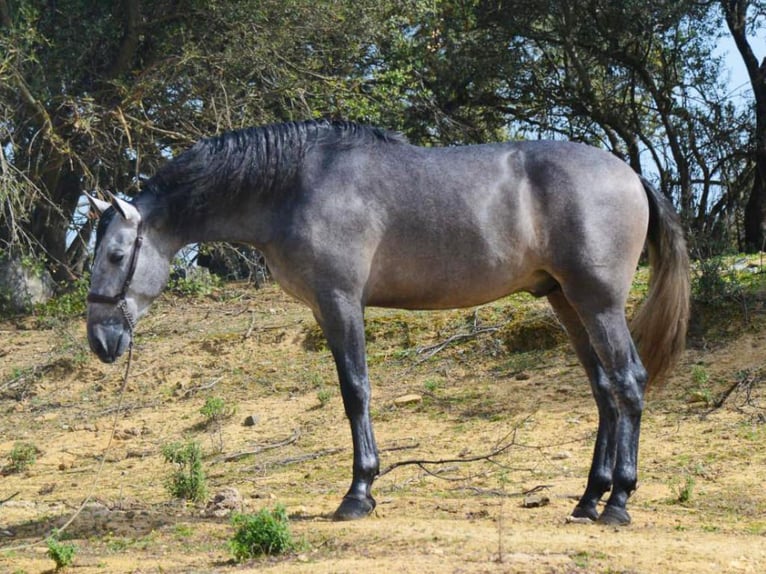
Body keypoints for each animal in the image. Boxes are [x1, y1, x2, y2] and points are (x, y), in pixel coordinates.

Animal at [87, 120, 692, 528]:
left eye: (116, 255)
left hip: (598, 302)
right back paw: (589, 499)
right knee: (604, 390)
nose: (100, 341)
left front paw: (358, 492)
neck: (296, 185)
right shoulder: (324, 306)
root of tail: (632, 175)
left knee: (629, 383)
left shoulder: (339, 302)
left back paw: (618, 503)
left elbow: (355, 391)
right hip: (567, 302)